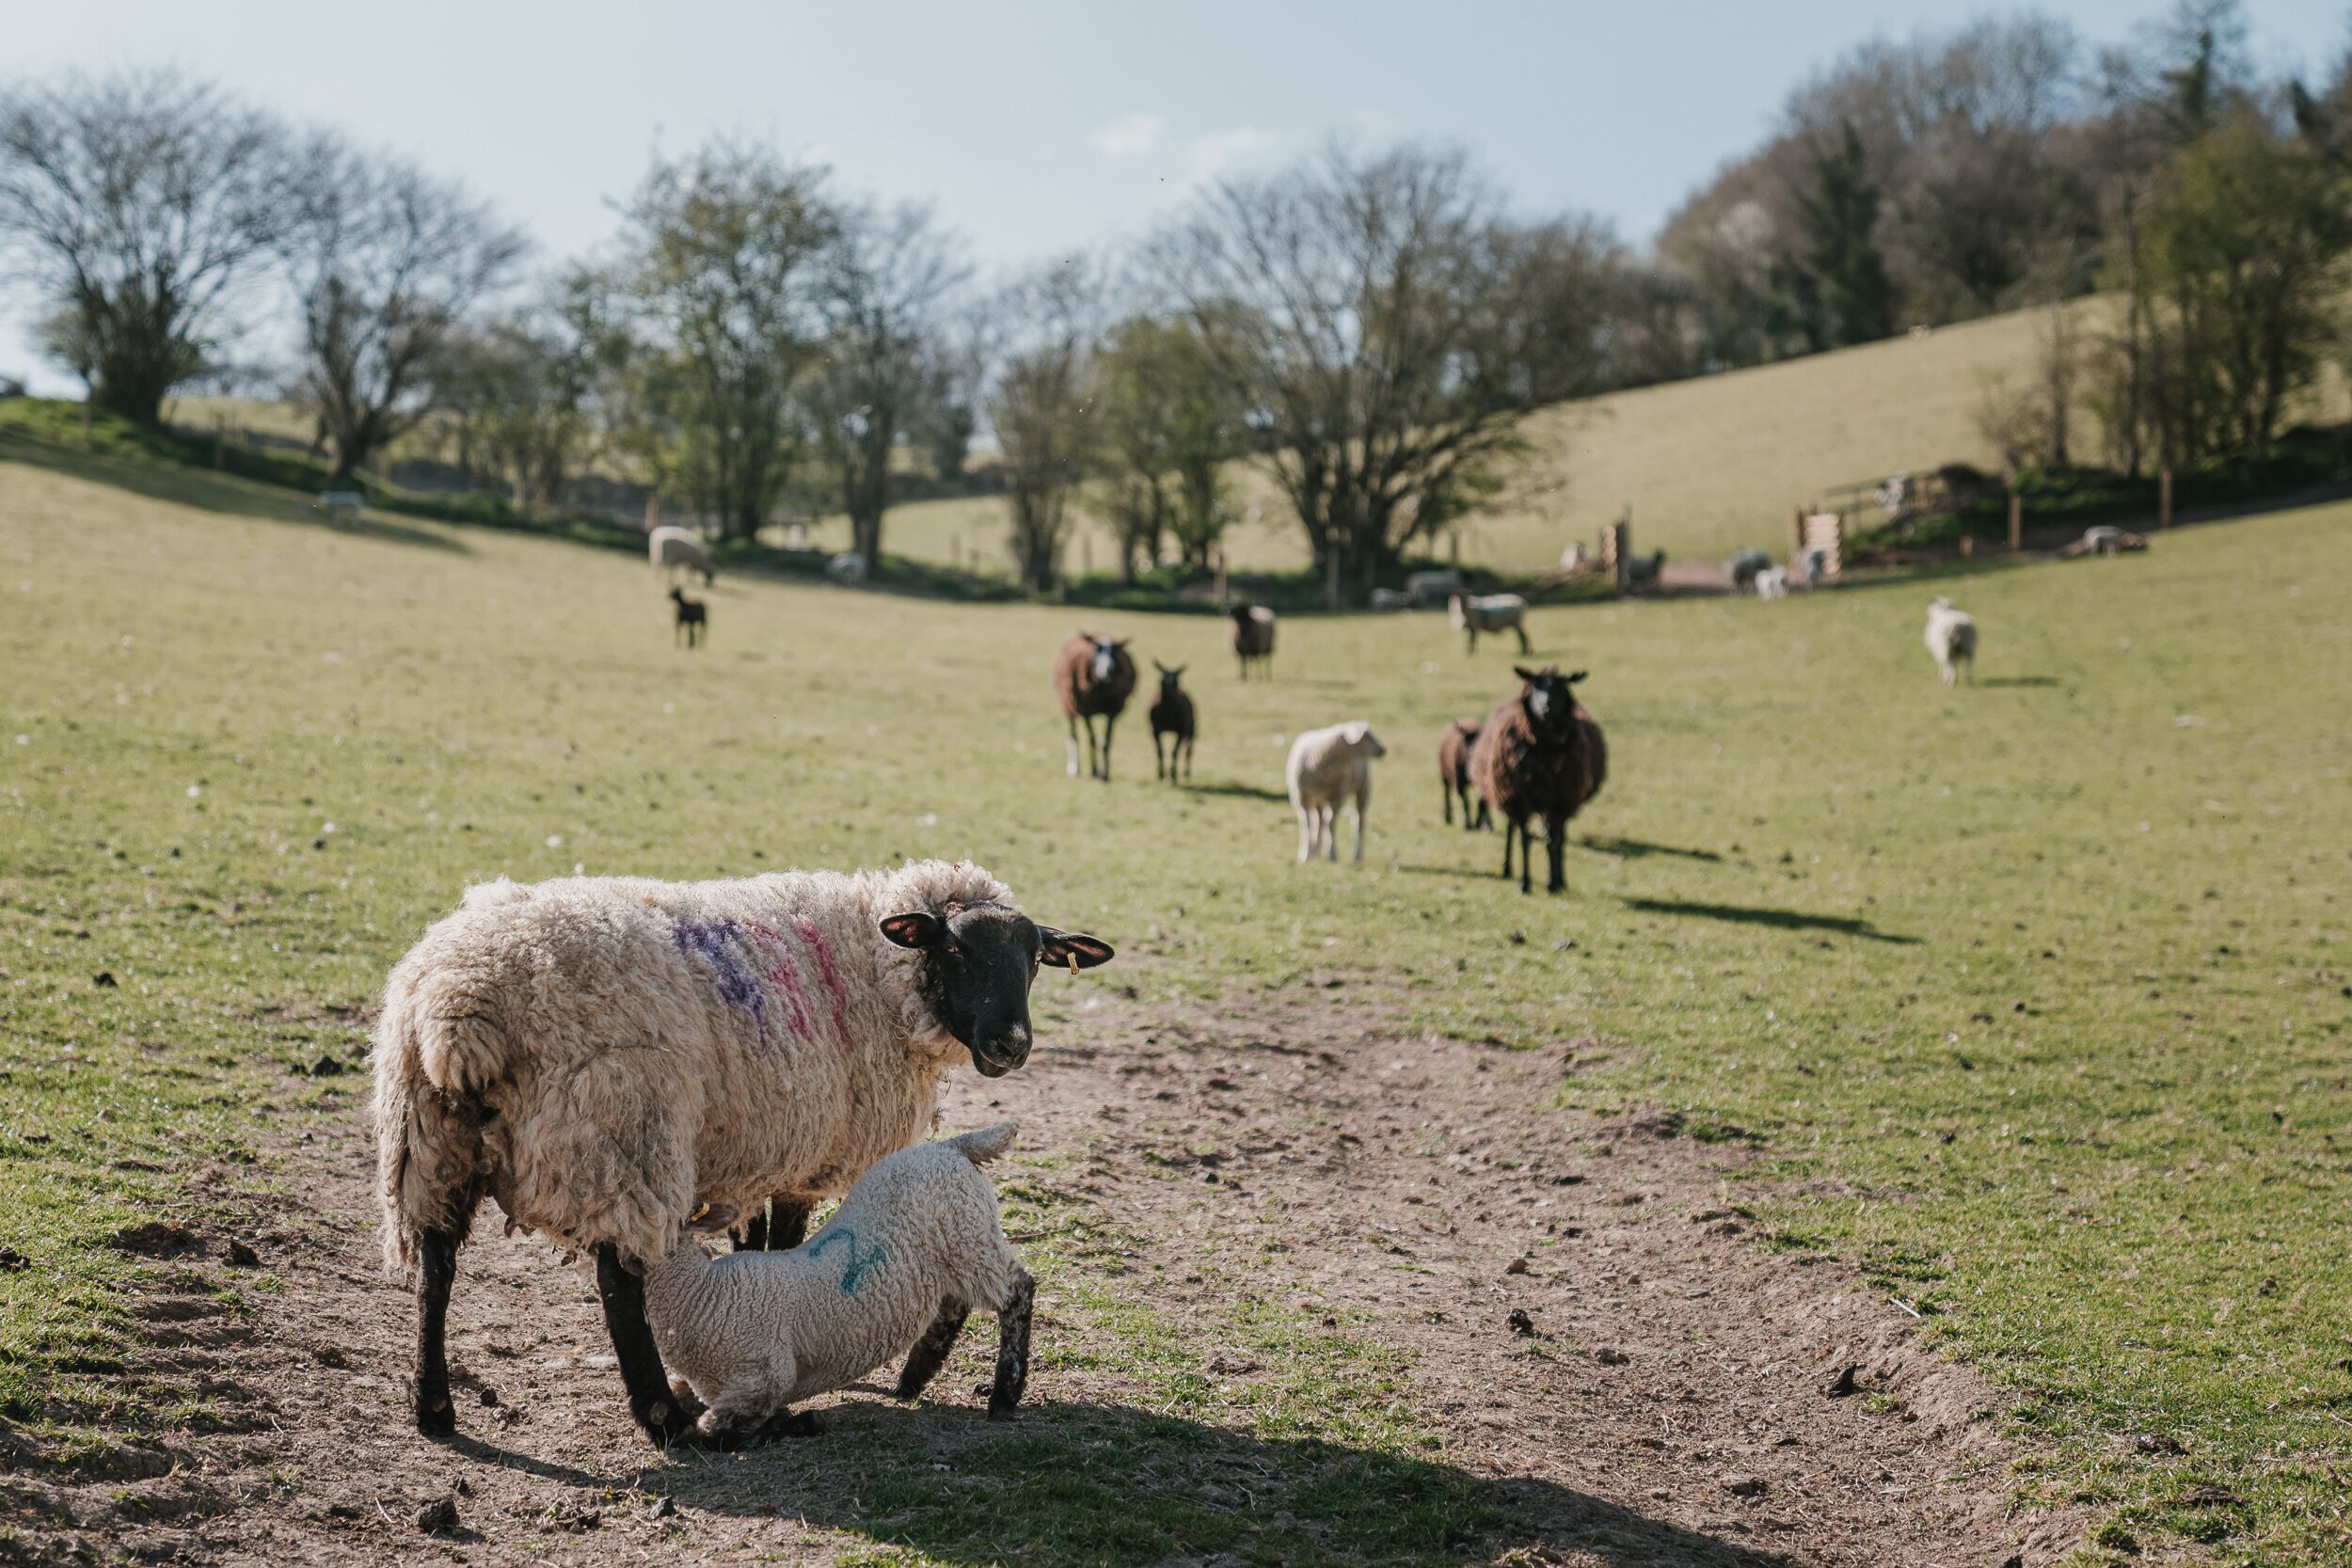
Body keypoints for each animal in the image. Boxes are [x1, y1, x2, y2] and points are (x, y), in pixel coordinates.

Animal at [643, 1123, 1033, 1445]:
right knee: (954, 1306)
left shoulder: (766, 1377)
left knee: (1018, 1291)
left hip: (969, 1236)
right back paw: (912, 1380)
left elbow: (713, 1429)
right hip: (955, 1252)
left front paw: (796, 1424)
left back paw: (1004, 1396)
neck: (704, 1292)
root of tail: (952, 1146)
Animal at [1052, 632, 1136, 782]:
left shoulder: (1112, 712)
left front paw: (1104, 774)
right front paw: (1094, 770)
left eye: (1114, 651)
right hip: (1070, 706)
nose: (1108, 669)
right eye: (1097, 650)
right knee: (1074, 735)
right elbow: (1091, 738)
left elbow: (1106, 741)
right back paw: (1075, 768)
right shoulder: (1086, 711)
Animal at [1148, 662, 1195, 783]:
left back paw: (1186, 771)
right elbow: (1160, 751)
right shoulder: (1155, 730)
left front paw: (1173, 777)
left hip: (1192, 728)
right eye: (1161, 681)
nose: (1169, 683)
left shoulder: (1180, 731)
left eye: (1176, 680)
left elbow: (1174, 752)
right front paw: (1161, 774)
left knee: (1189, 747)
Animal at [1287, 721, 1385, 864]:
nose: (1383, 750)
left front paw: (1332, 855)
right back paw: (1316, 851)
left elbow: (1331, 825)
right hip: (1319, 798)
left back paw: (1357, 856)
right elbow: (1308, 825)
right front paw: (1306, 855)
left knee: (1358, 822)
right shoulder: (1301, 797)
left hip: (1362, 789)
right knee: (1319, 821)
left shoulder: (1337, 797)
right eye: (1367, 736)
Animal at [1470, 667, 1604, 895]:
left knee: (1559, 839)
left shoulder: (1558, 802)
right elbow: (1525, 841)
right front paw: (1524, 884)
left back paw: (1561, 879)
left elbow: (1552, 842)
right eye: (1535, 685)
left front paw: (1553, 883)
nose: (1545, 706)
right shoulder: (1519, 799)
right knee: (1512, 829)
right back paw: (1507, 868)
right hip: (1508, 795)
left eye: (1561, 686)